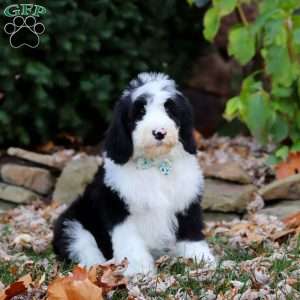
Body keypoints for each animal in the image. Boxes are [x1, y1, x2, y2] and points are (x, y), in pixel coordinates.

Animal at [52, 71, 216, 276]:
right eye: (140, 112)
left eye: (170, 111)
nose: (159, 132)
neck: (155, 164)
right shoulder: (117, 205)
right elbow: (129, 240)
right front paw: (139, 269)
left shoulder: (186, 201)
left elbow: (191, 232)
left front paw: (201, 261)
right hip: (72, 222)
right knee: (83, 245)